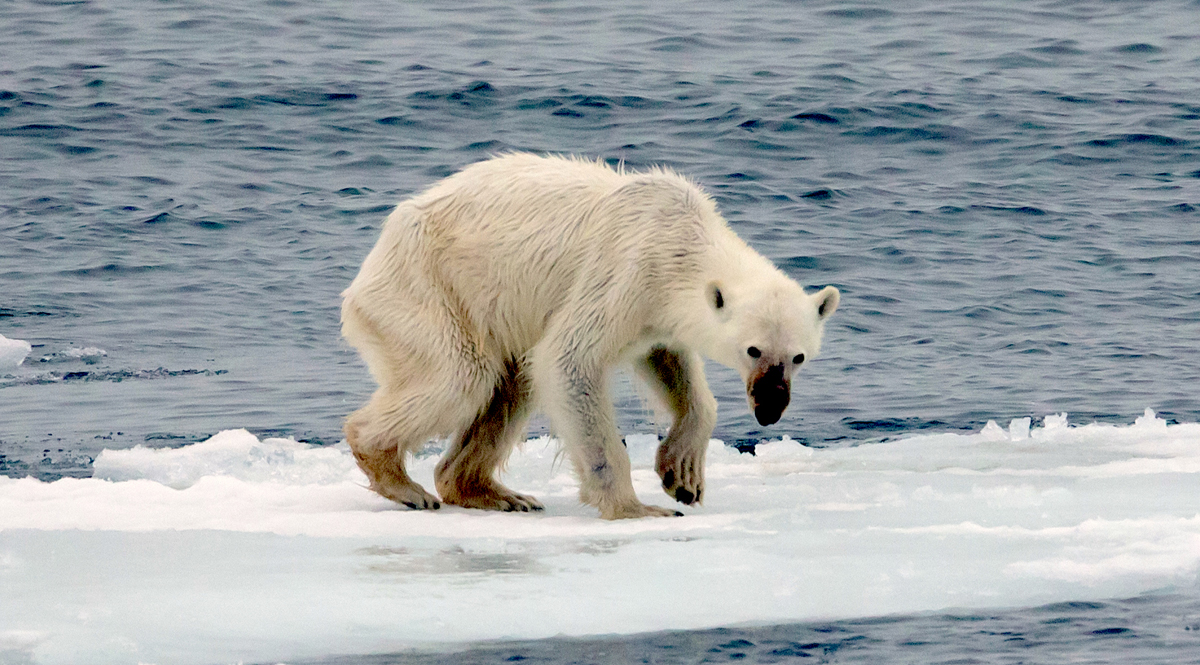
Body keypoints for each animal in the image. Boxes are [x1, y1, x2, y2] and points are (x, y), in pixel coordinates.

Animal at [343, 153, 840, 518]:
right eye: (753, 349)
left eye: (798, 357)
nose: (770, 409)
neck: (680, 240)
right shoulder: (624, 271)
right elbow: (569, 360)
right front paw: (637, 508)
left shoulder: (654, 313)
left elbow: (670, 364)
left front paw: (682, 475)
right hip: (429, 290)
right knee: (462, 376)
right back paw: (401, 480)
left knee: (510, 385)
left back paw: (496, 493)